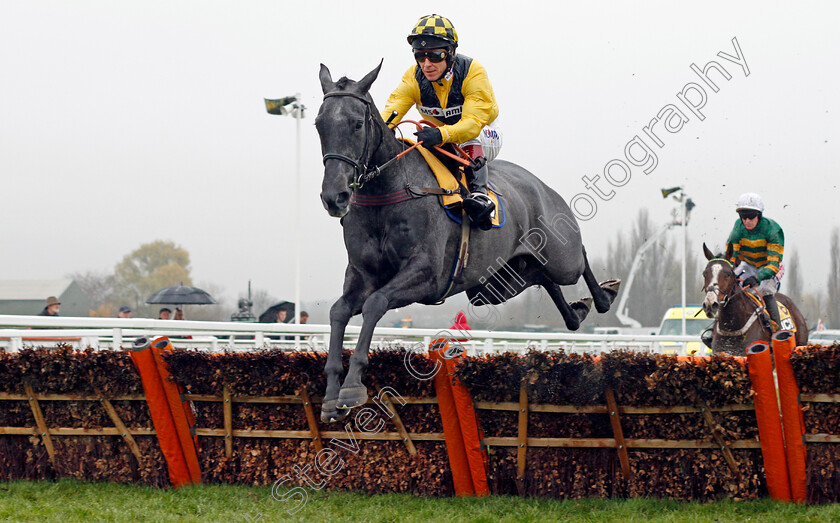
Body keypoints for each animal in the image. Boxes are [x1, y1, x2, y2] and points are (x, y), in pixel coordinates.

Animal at [316, 62, 616, 422]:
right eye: (319, 124)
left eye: (357, 124)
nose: (334, 196)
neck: (389, 192)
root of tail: (543, 186)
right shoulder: (363, 275)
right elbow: (338, 310)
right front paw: (331, 393)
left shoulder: (426, 276)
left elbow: (375, 303)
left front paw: (351, 388)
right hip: (497, 285)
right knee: (542, 279)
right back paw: (578, 310)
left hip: (559, 257)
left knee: (578, 259)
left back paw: (604, 296)